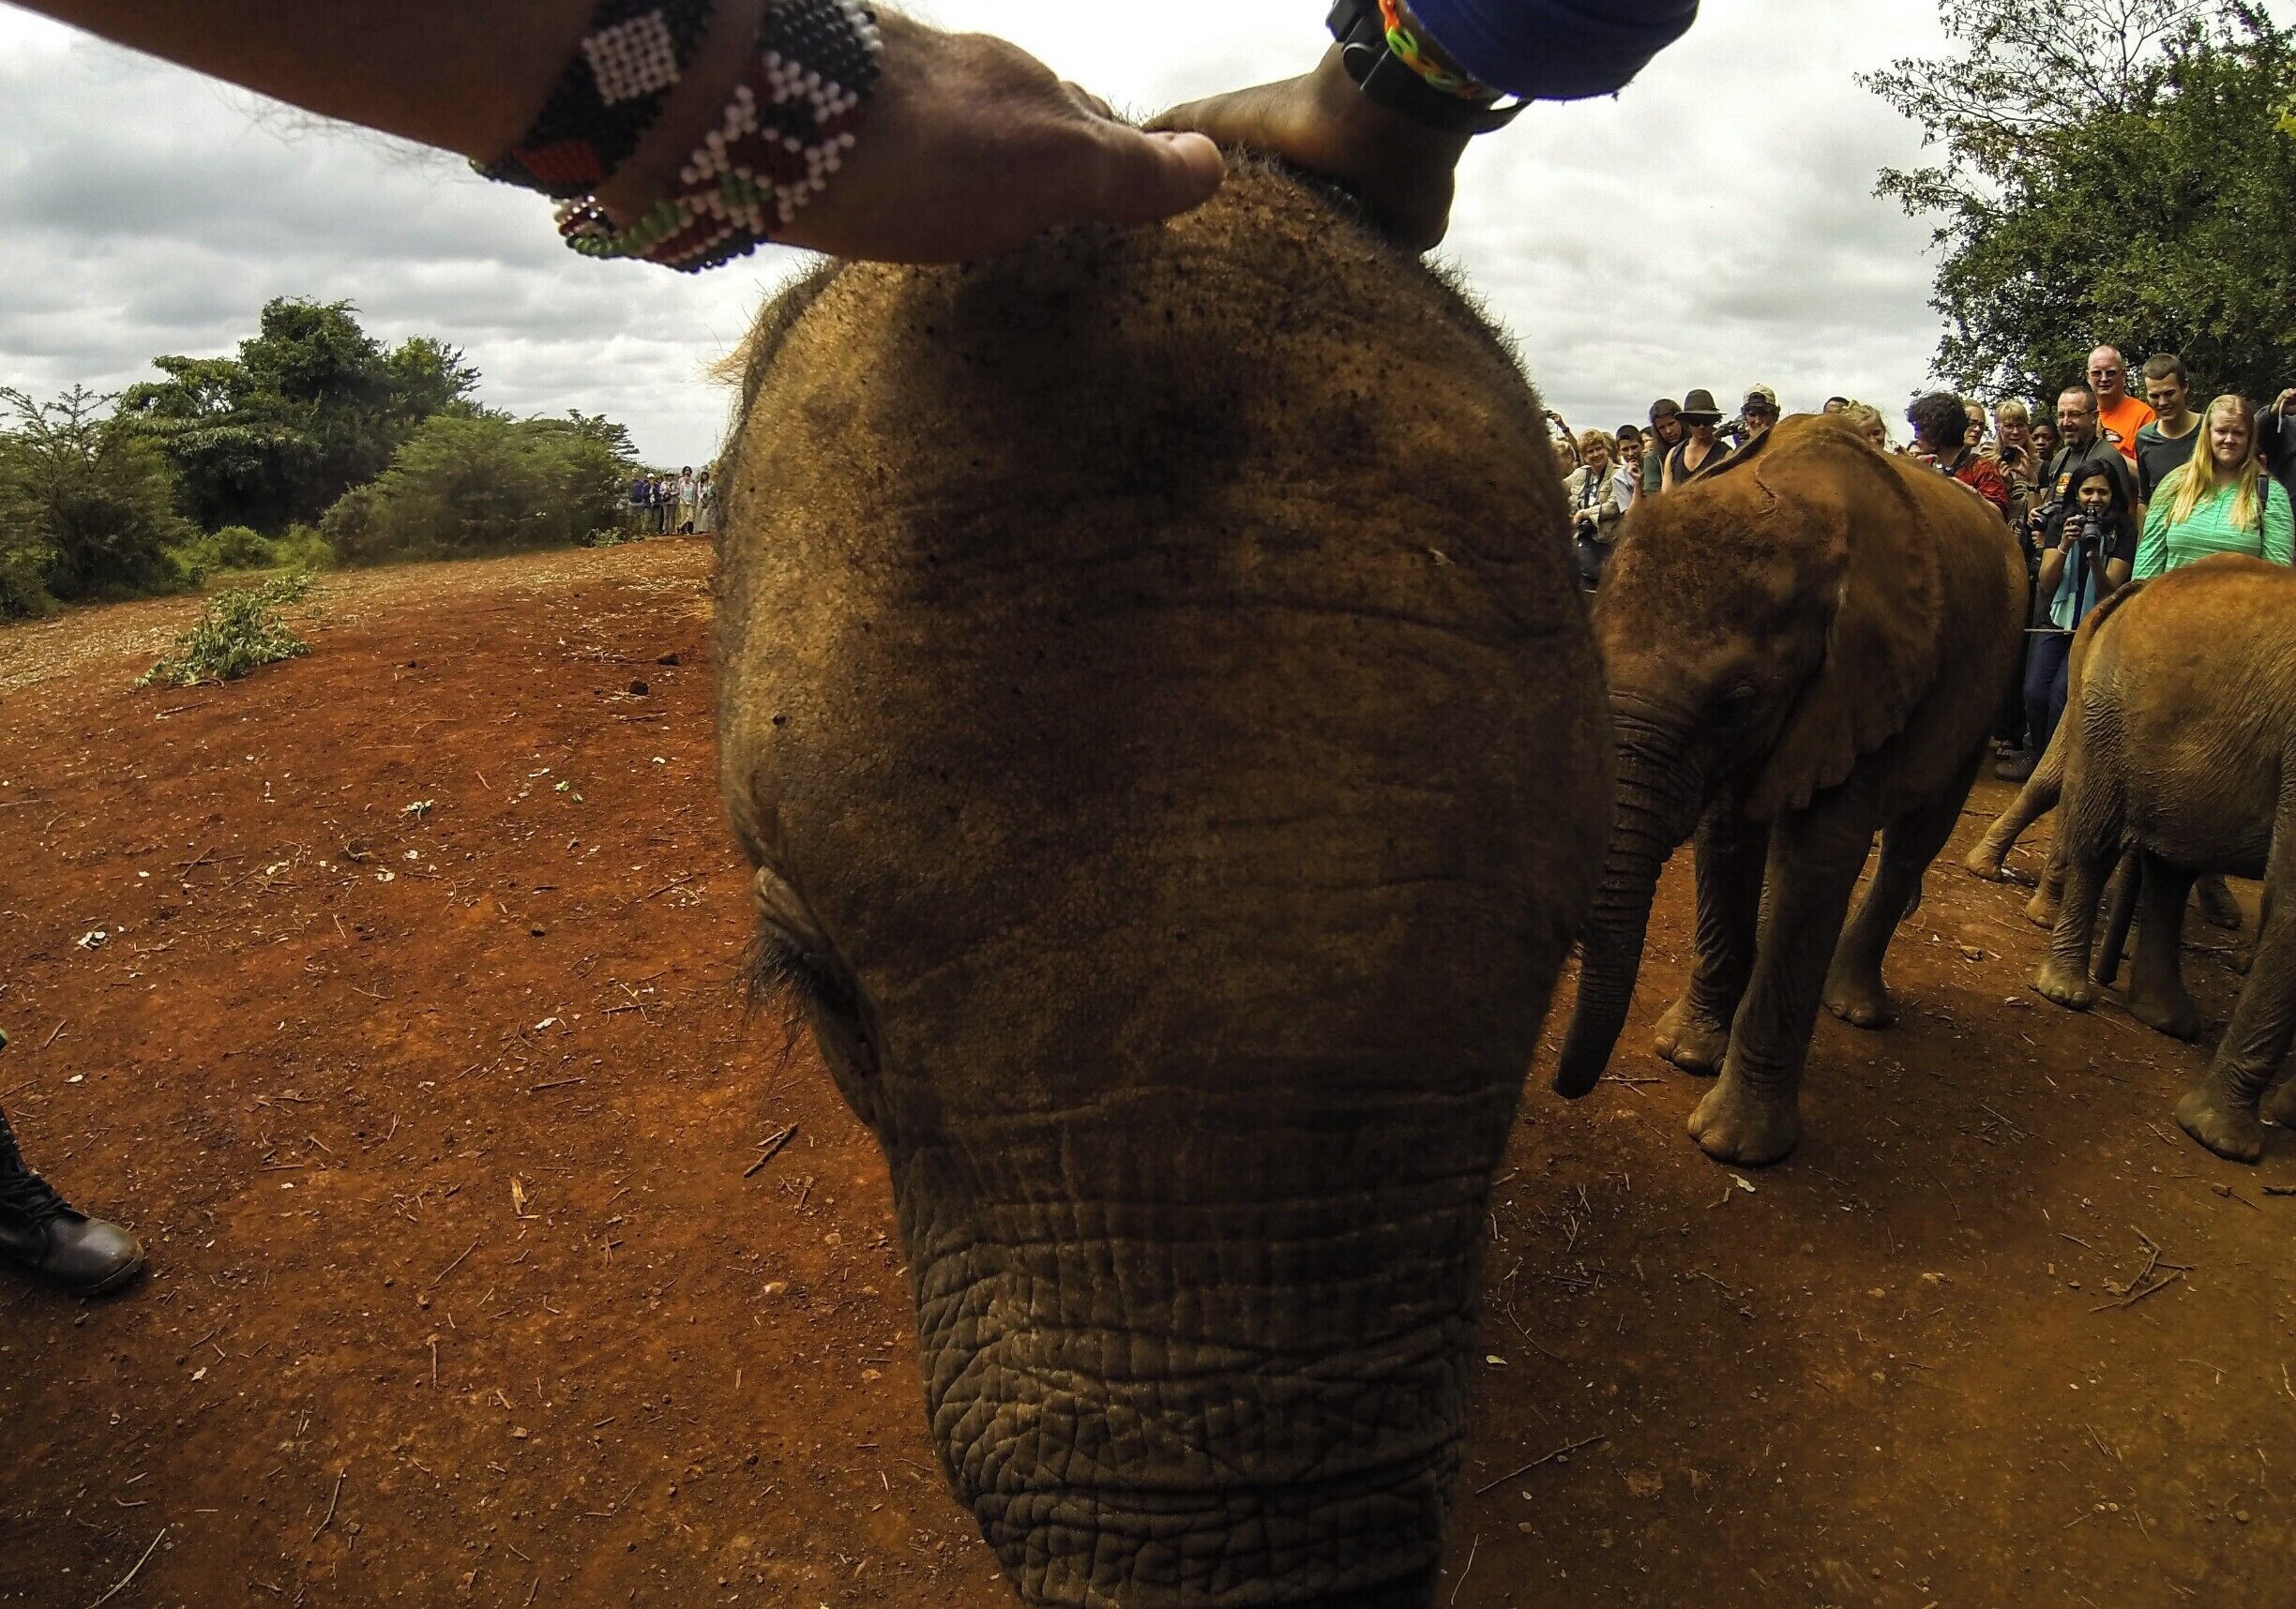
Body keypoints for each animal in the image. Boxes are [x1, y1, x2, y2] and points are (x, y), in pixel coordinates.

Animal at [1551, 414, 2027, 1165]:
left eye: (1736, 703)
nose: (1563, 1088)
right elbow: (1727, 834)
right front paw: (1685, 1054)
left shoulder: (1865, 678)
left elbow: (1818, 856)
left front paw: (1735, 1146)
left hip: (1987, 687)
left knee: (1915, 840)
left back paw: (1855, 1007)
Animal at [2026, 556, 2296, 1161]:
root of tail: (2138, 587)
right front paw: (2222, 1142)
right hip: (2109, 714)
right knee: (2099, 839)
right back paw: (2066, 993)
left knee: (2173, 865)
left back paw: (2164, 1019)